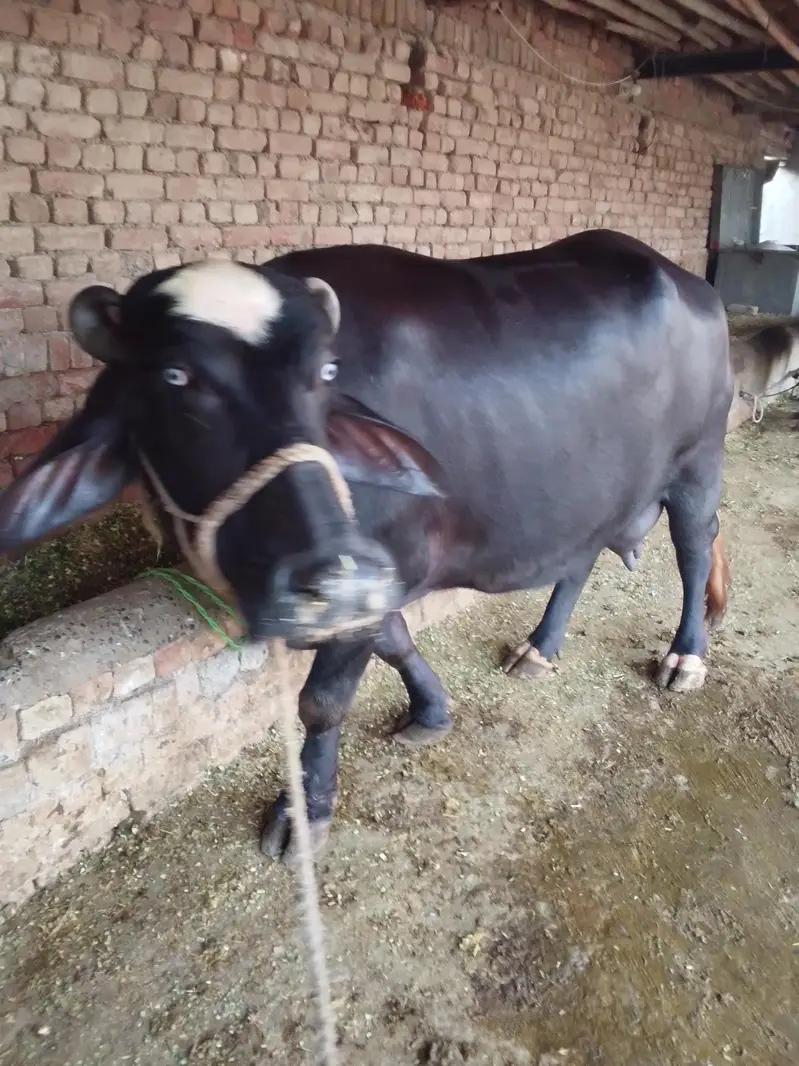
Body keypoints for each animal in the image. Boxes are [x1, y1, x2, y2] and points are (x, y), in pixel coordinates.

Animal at [0, 229, 732, 864]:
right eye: (174, 376)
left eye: (324, 372)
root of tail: (689, 283)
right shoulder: (362, 579)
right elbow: (393, 638)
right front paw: (431, 709)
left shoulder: (372, 571)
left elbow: (323, 700)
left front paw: (304, 811)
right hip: (589, 493)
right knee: (578, 561)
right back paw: (539, 648)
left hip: (698, 465)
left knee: (694, 552)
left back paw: (684, 658)